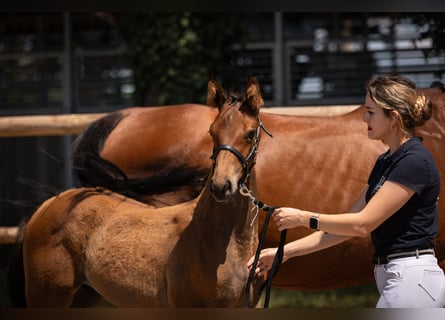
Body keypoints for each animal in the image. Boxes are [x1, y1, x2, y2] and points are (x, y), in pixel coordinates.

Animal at [17, 75, 268, 308]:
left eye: (250, 133)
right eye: (211, 132)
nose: (221, 186)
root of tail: (48, 205)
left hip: (84, 297)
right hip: (47, 295)